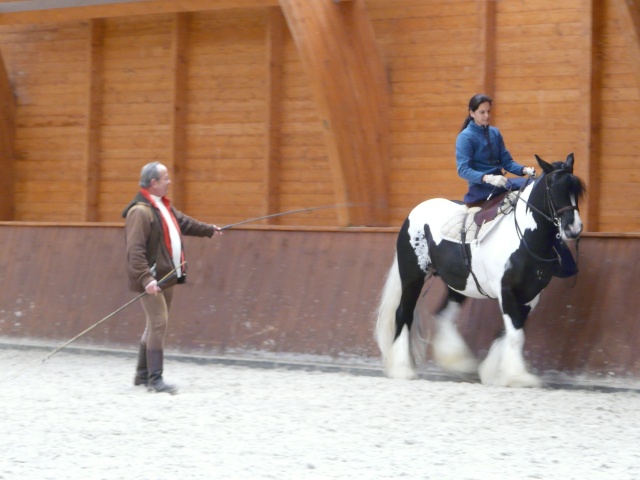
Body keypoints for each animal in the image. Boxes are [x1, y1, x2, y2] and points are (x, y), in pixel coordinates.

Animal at [376, 154, 584, 386]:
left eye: (577, 190)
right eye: (553, 188)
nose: (573, 229)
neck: (523, 238)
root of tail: (415, 212)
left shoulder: (530, 296)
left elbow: (510, 332)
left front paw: (493, 372)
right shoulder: (507, 292)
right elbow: (515, 335)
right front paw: (518, 376)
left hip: (458, 283)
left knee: (443, 314)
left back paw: (458, 362)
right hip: (413, 277)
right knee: (403, 314)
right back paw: (403, 369)